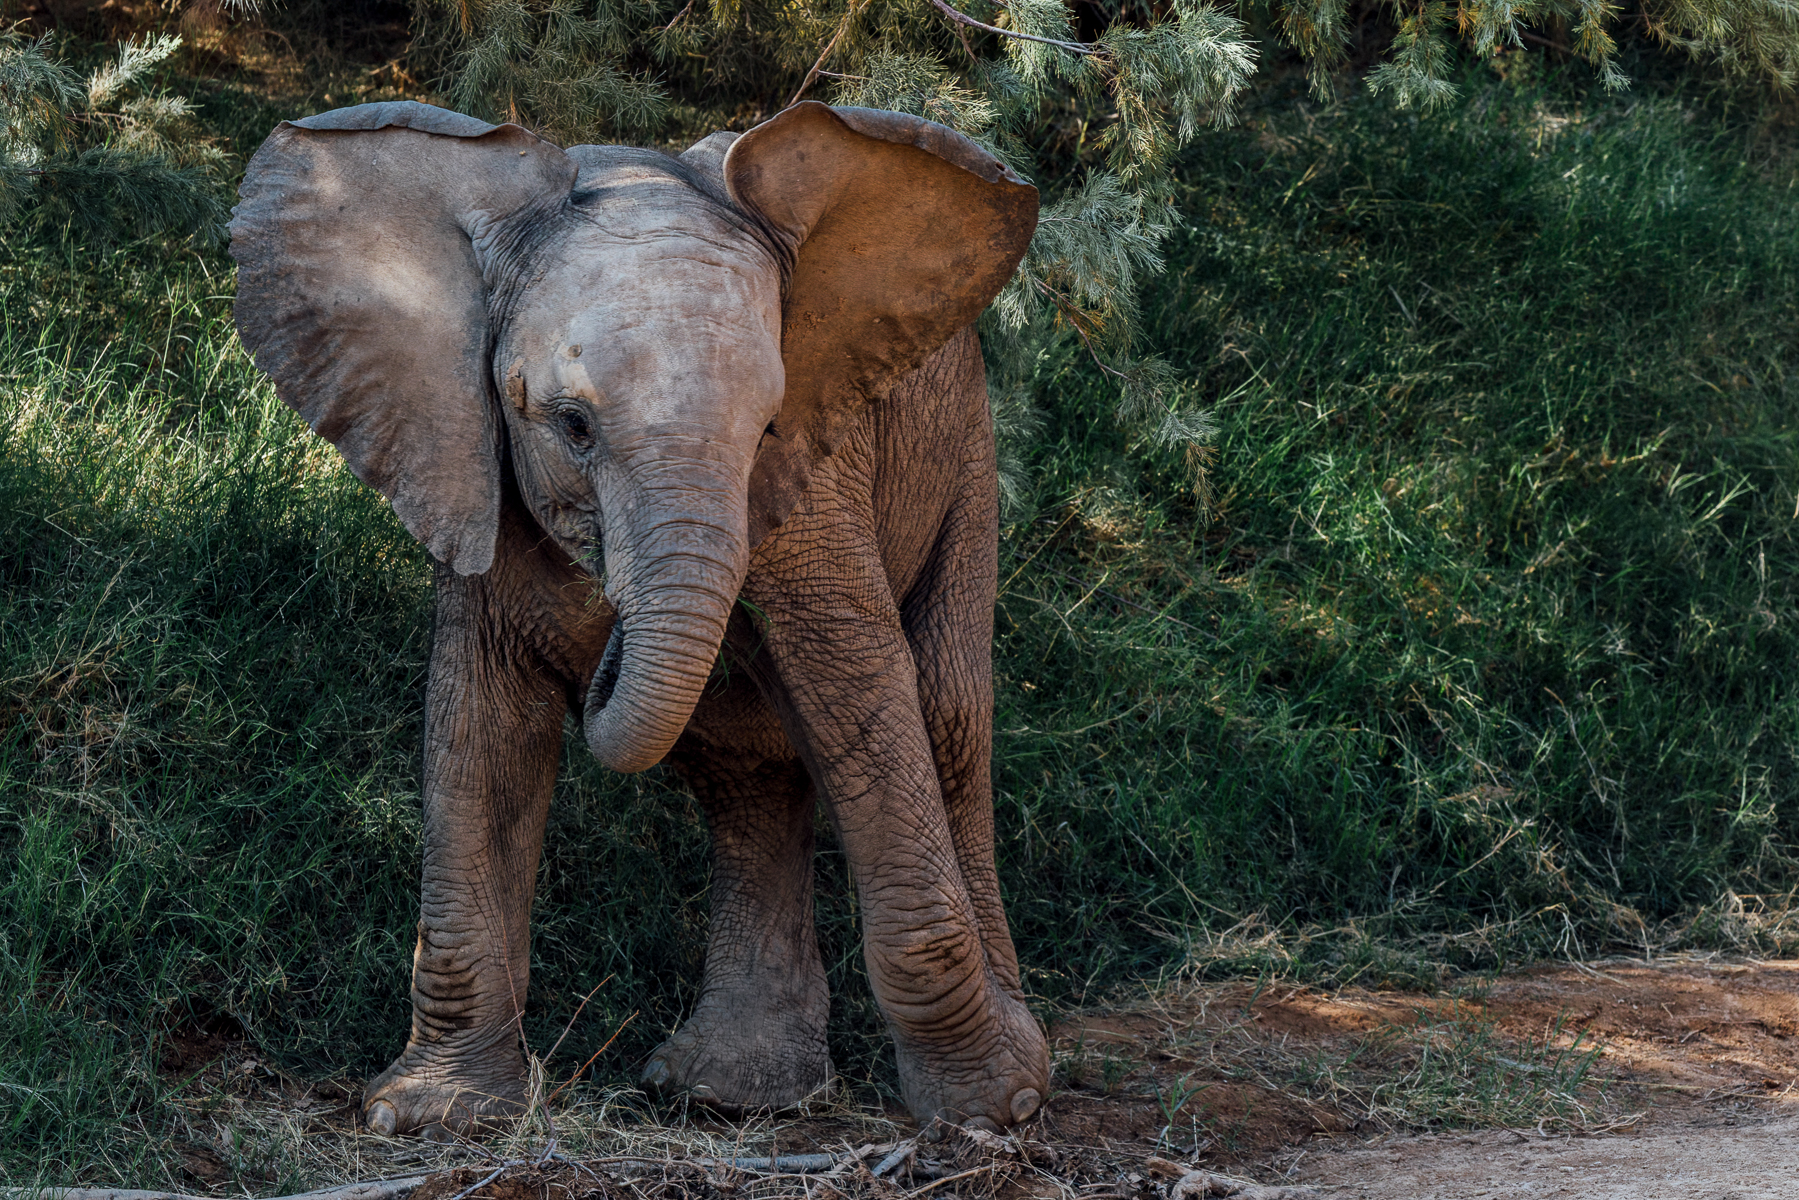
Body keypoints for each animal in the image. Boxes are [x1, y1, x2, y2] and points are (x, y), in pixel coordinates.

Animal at [229, 98, 1047, 1140]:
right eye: (572, 427)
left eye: (769, 428)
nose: (608, 632)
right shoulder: (469, 465)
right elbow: (479, 731)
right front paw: (432, 1116)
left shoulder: (816, 485)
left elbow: (859, 694)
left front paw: (991, 1109)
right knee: (749, 766)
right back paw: (730, 1091)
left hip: (964, 456)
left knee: (943, 717)